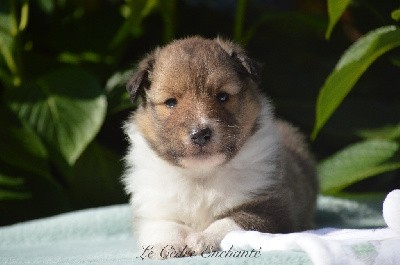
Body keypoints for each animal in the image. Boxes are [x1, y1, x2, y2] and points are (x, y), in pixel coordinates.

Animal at [123, 36, 318, 256]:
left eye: (222, 96)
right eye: (171, 102)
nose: (200, 134)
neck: (201, 176)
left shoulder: (273, 207)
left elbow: (229, 223)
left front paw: (202, 239)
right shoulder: (152, 211)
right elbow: (165, 226)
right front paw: (165, 247)